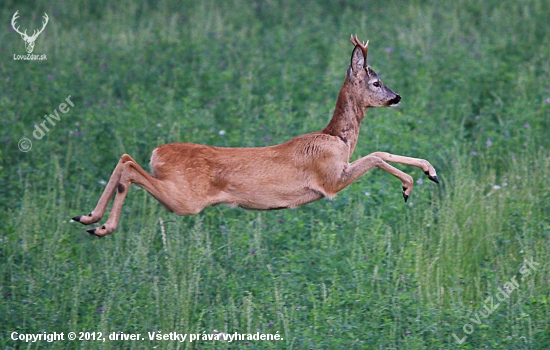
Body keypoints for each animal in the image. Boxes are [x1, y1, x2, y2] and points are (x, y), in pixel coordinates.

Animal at [72, 34, 440, 237]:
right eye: (376, 82)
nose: (397, 97)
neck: (336, 138)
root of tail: (158, 152)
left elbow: (379, 153)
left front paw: (426, 174)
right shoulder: (330, 179)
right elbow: (376, 155)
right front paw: (415, 181)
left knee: (124, 158)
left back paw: (88, 218)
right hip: (185, 198)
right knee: (130, 168)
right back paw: (101, 226)